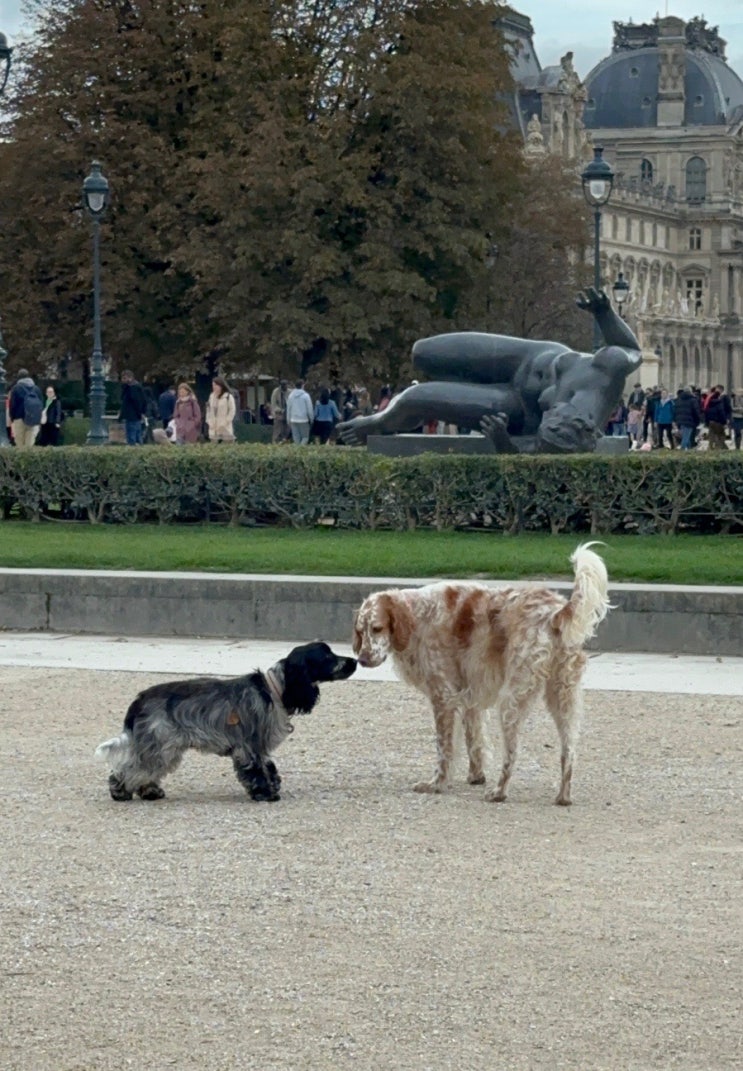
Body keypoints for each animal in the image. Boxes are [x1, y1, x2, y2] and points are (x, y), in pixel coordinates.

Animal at [95, 642, 357, 802]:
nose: (354, 661)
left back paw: (149, 791)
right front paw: (265, 794)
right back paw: (120, 792)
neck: (273, 689)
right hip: (160, 745)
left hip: (163, 747)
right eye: (328, 656)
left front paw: (273, 786)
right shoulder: (248, 746)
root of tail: (139, 700)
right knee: (128, 770)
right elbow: (256, 771)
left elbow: (269, 766)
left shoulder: (260, 746)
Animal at [352, 544, 610, 805]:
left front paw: (436, 784)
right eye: (361, 631)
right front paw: (476, 776)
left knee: (512, 753)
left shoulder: (443, 697)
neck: (418, 615)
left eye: (377, 628)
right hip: (563, 699)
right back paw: (563, 796)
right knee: (569, 752)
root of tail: (555, 613)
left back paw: (499, 792)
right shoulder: (469, 698)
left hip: (511, 701)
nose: (362, 660)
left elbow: (444, 749)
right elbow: (473, 740)